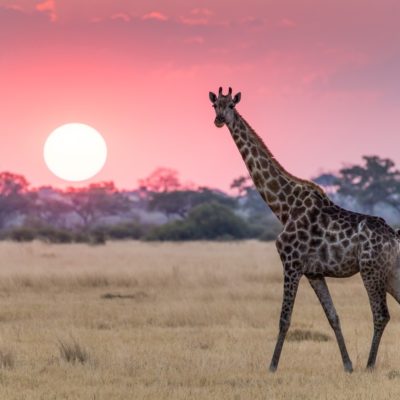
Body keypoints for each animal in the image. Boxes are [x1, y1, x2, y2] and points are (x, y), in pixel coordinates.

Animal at [208, 86, 400, 372]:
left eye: (231, 104)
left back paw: (369, 365)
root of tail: (395, 238)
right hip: (390, 272)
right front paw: (347, 365)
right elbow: (333, 316)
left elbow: (284, 319)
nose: (219, 120)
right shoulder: (314, 273)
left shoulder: (291, 263)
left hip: (372, 270)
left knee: (381, 314)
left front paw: (272, 366)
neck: (283, 206)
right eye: (214, 105)